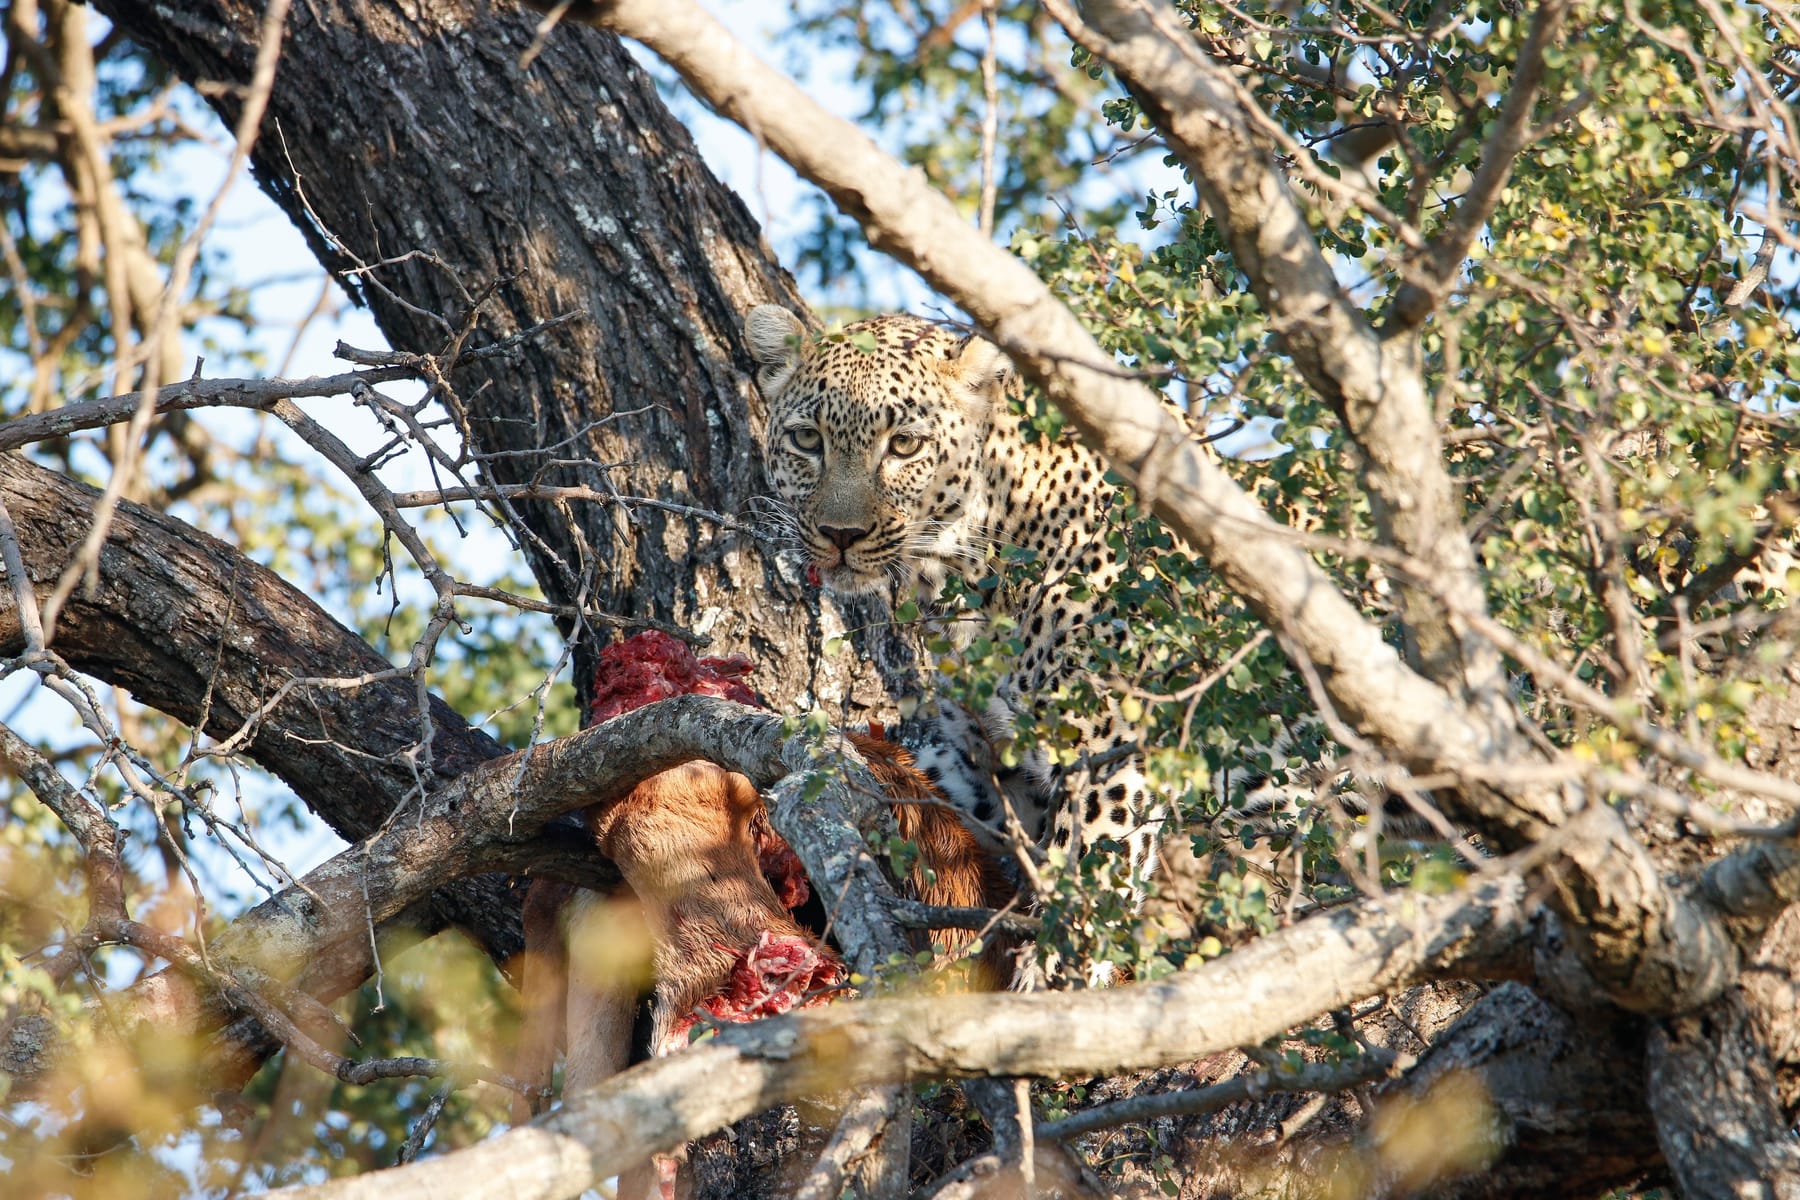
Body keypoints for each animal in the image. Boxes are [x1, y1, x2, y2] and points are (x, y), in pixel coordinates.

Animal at [745, 305, 1164, 898]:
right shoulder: (999, 768)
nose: (841, 534)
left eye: (904, 445)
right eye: (807, 439)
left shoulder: (1110, 761)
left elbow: (1082, 886)